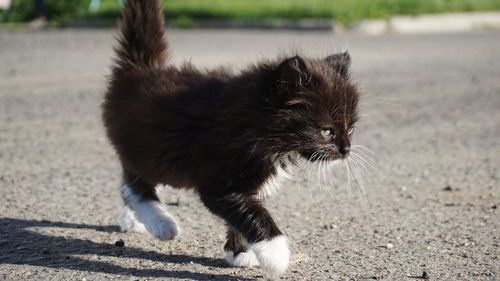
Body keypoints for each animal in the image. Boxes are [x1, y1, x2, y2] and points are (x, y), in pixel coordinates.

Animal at [102, 0, 360, 276]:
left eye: (350, 129)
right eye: (327, 131)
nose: (346, 149)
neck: (257, 128)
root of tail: (139, 68)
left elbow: (244, 212)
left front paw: (239, 253)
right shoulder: (218, 180)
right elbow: (250, 211)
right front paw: (276, 253)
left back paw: (135, 221)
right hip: (146, 149)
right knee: (134, 184)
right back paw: (161, 222)